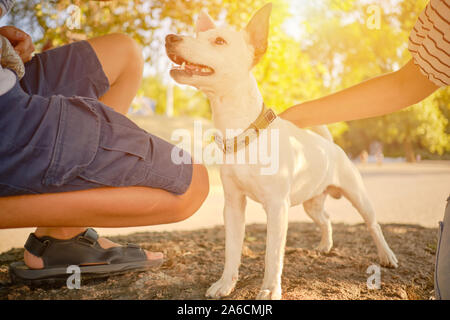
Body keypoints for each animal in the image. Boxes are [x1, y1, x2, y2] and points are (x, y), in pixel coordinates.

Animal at [165, 3, 398, 300]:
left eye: (219, 41)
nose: (169, 37)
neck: (243, 136)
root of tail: (330, 146)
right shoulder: (233, 206)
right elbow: (231, 249)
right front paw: (226, 283)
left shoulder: (277, 208)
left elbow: (272, 255)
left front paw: (269, 290)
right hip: (311, 202)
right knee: (326, 219)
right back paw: (325, 245)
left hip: (357, 196)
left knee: (373, 225)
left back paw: (386, 255)